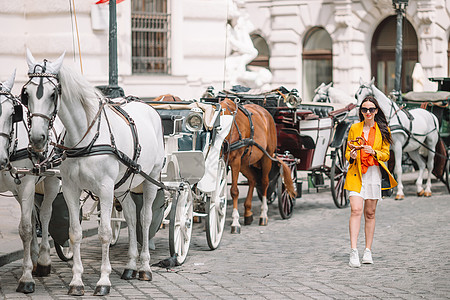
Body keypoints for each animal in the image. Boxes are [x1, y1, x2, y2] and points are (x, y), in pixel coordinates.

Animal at [0, 69, 60, 292]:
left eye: (12, 114)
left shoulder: (26, 185)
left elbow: (25, 229)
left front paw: (26, 279)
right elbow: (28, 224)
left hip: (52, 181)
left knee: (44, 215)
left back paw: (42, 261)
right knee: (34, 218)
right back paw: (34, 258)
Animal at [22, 50, 165, 296]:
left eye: (53, 94)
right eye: (26, 93)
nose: (38, 138)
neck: (85, 137)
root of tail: (148, 106)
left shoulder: (106, 188)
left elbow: (105, 232)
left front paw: (103, 280)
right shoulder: (71, 187)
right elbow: (74, 232)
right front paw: (76, 281)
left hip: (151, 179)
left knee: (145, 218)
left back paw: (145, 267)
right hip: (123, 185)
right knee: (130, 216)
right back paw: (130, 266)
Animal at [221, 98, 298, 234]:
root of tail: (264, 111)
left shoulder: (235, 161)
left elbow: (234, 191)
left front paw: (235, 222)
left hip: (266, 157)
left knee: (264, 182)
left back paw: (263, 215)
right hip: (245, 163)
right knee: (253, 180)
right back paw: (248, 213)